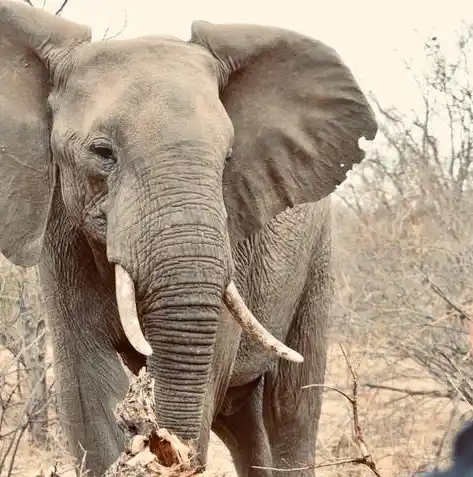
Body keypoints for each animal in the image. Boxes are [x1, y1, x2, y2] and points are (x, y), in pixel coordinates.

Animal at [0, 1, 376, 474]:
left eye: (228, 158)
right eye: (102, 153)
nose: (158, 444)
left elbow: (207, 367)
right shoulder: (60, 227)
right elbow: (86, 388)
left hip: (316, 257)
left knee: (289, 411)